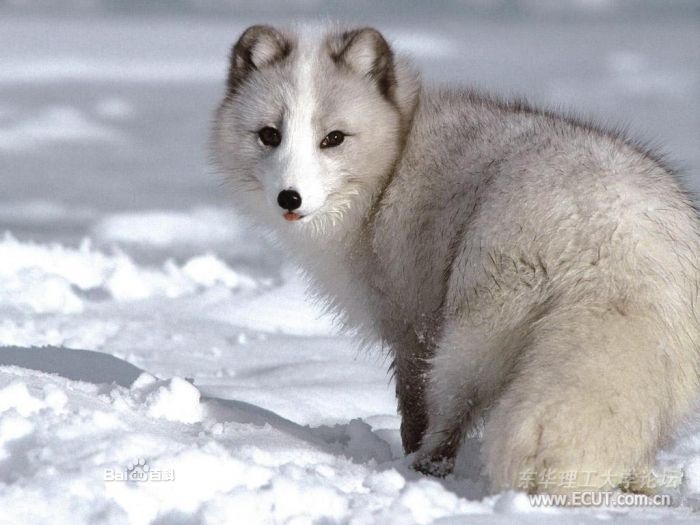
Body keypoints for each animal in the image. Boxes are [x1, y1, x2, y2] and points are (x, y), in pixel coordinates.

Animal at [212, 23, 700, 492]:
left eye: (333, 139)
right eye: (269, 135)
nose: (289, 197)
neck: (392, 163)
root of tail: (615, 240)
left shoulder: (412, 325)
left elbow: (413, 404)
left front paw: (410, 451)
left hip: (472, 335)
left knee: (451, 414)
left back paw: (423, 468)